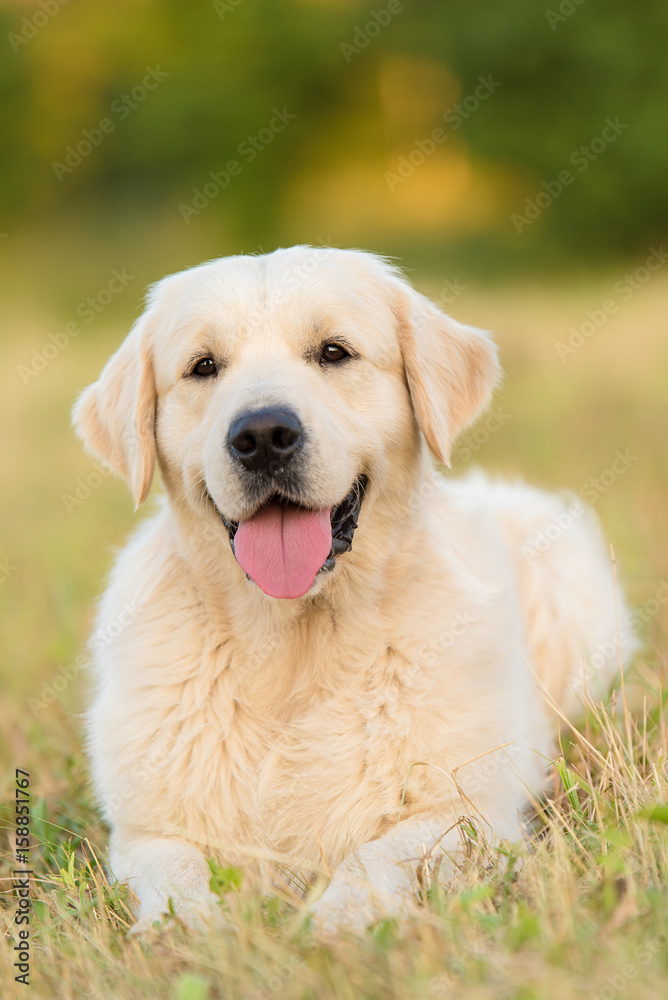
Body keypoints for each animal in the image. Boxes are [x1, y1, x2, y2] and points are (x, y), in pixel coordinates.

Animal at [75, 246, 636, 932]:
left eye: (334, 352)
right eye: (203, 366)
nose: (262, 436)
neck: (294, 646)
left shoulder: (467, 810)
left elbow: (378, 855)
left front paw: (334, 923)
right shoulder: (147, 830)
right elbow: (178, 872)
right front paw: (190, 932)